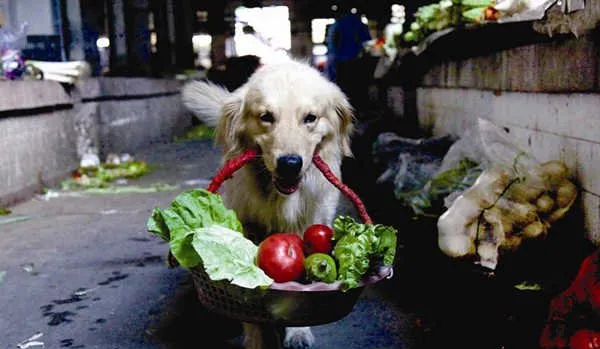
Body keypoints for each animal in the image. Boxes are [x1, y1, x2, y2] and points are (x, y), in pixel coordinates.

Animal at [180, 58, 354, 346]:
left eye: (310, 118)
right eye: (266, 117)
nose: (290, 164)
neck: (279, 198)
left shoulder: (307, 224)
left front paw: (297, 331)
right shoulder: (245, 226)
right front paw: (256, 338)